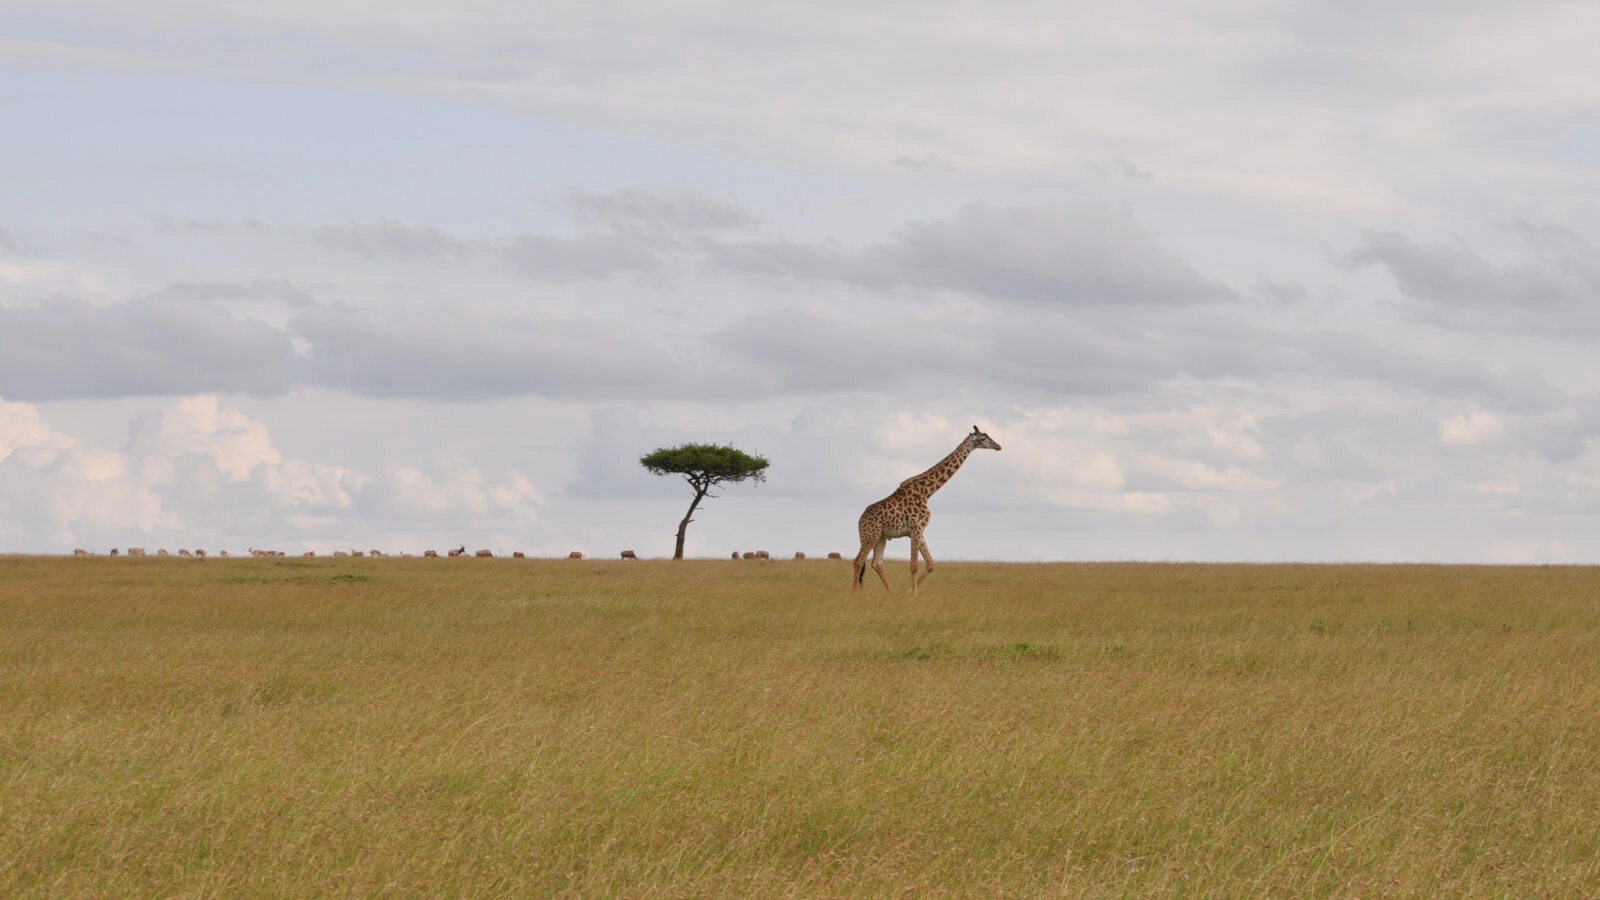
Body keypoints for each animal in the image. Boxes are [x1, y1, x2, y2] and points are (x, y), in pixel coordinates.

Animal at [853, 425, 1001, 595]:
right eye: (983, 439)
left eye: (988, 436)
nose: (998, 446)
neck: (927, 492)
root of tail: (860, 520)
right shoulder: (915, 528)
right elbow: (913, 565)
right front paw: (914, 594)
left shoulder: (919, 531)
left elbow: (930, 564)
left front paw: (909, 591)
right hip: (870, 535)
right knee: (858, 561)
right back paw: (854, 592)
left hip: (881, 537)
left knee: (877, 563)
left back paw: (890, 592)